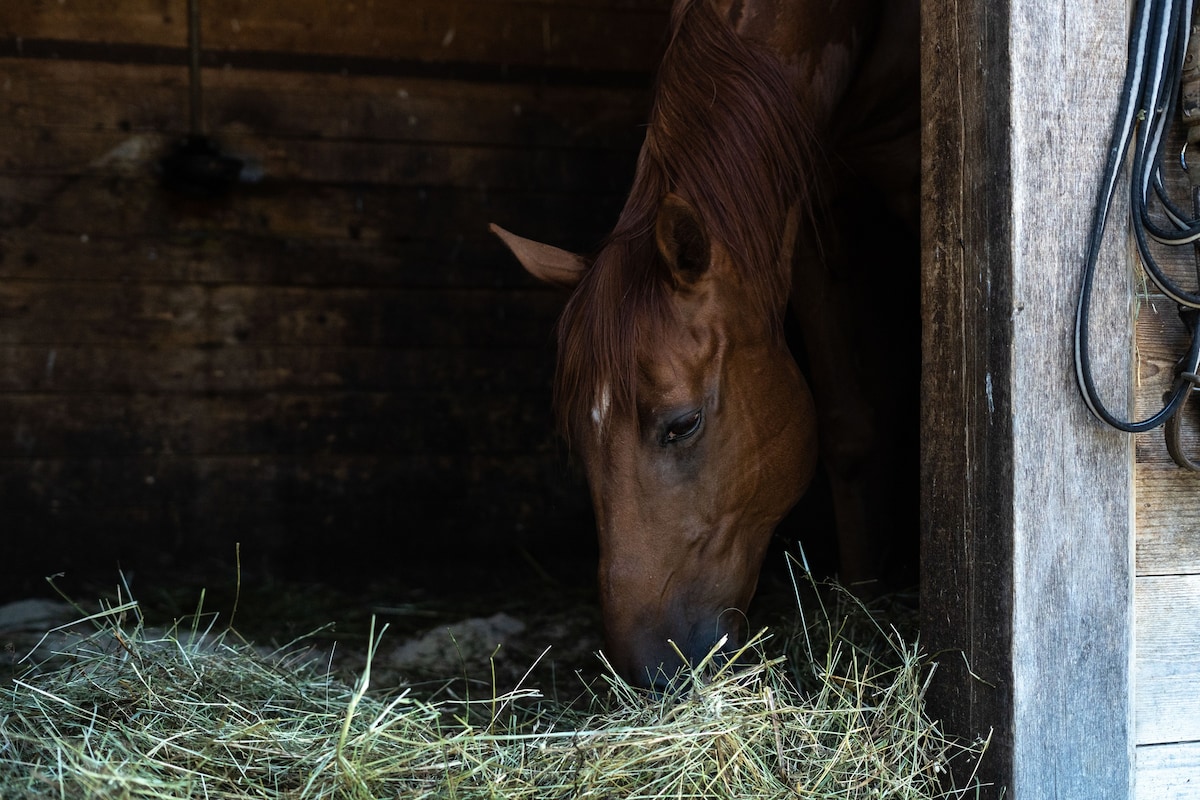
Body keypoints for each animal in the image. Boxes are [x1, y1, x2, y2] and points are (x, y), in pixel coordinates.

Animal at [492, 0, 912, 690]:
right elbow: (847, 430)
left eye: (682, 425)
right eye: (577, 440)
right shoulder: (809, 209)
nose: (649, 671)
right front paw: (864, 603)